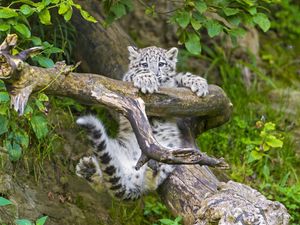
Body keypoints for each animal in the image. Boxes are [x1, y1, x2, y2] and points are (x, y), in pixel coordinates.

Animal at [76, 46, 209, 200]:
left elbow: (179, 76)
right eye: (144, 64)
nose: (155, 74)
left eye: (161, 64)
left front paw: (199, 83)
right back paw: (88, 169)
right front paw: (147, 80)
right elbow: (133, 73)